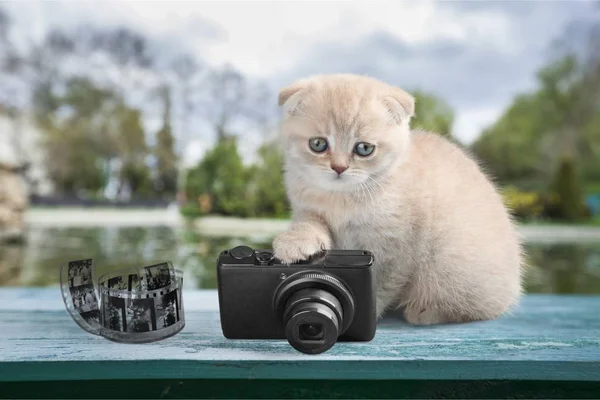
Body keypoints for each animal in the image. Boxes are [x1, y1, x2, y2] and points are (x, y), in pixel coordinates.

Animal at [270, 74, 524, 324]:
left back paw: (424, 312)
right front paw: (295, 243)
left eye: (364, 148)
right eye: (318, 144)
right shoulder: (307, 208)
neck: (342, 198)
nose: (339, 168)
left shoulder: (396, 247)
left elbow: (381, 284)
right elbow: (310, 223)